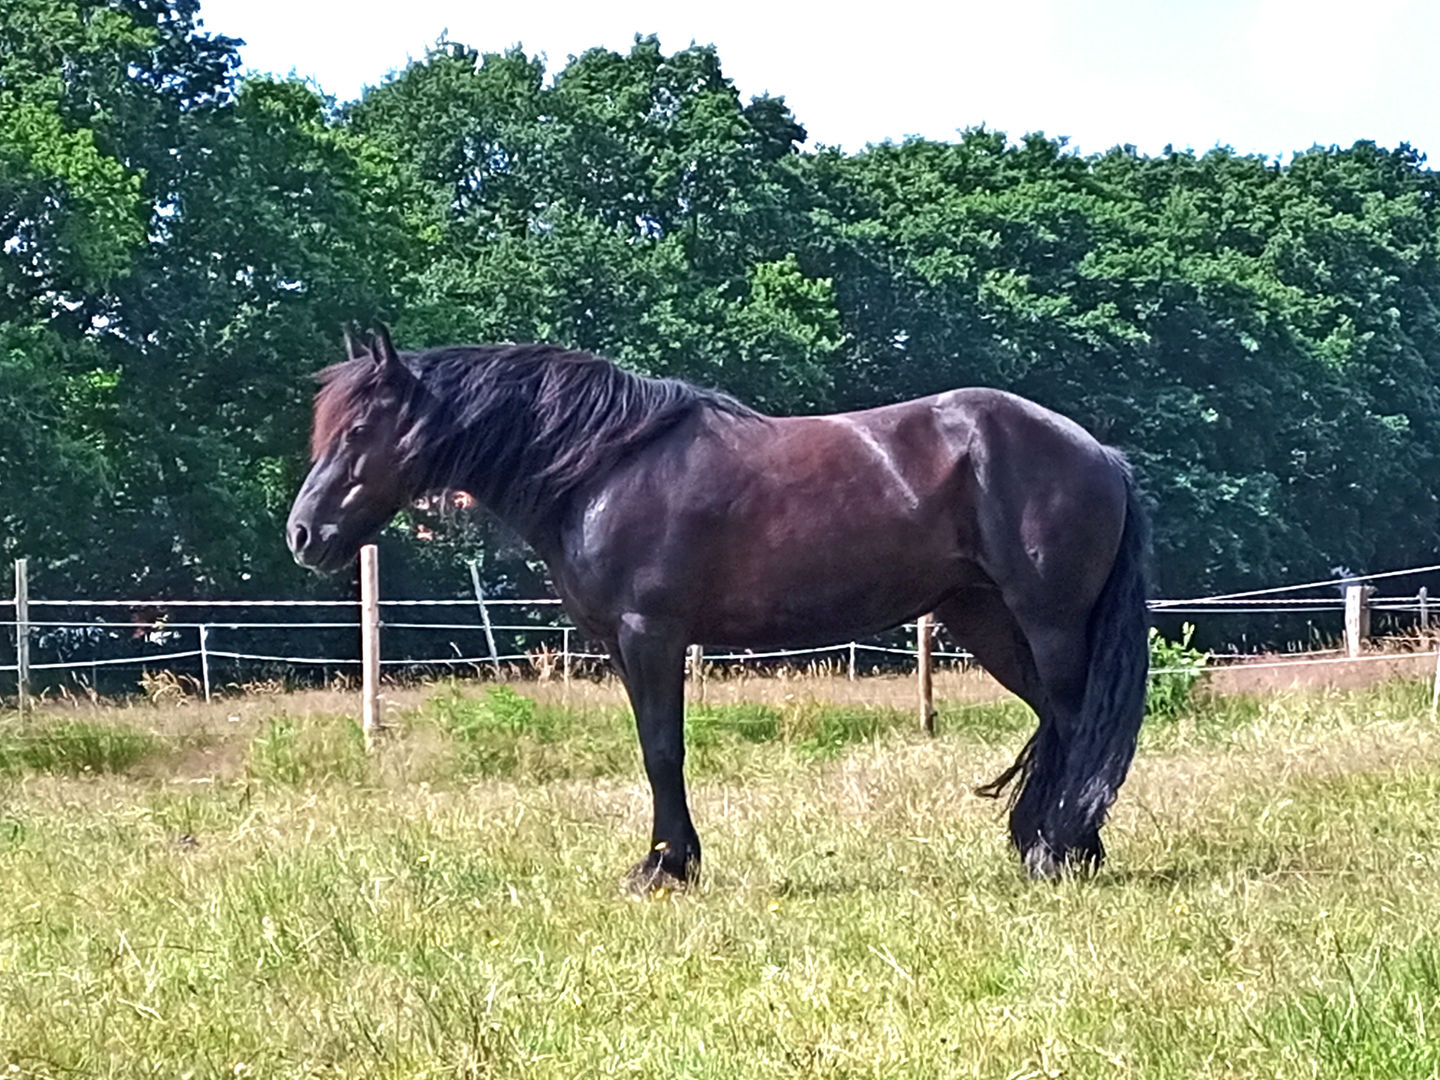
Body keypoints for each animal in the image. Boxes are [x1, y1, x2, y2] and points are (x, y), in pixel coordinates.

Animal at [287, 325, 1150, 887]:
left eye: (358, 429)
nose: (304, 534)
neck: (605, 466)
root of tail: (1098, 451)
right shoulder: (625, 645)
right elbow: (653, 748)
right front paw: (668, 860)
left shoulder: (653, 635)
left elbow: (663, 751)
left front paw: (666, 867)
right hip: (986, 621)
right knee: (1058, 722)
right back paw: (1058, 845)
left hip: (1047, 622)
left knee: (1079, 722)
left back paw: (1060, 851)